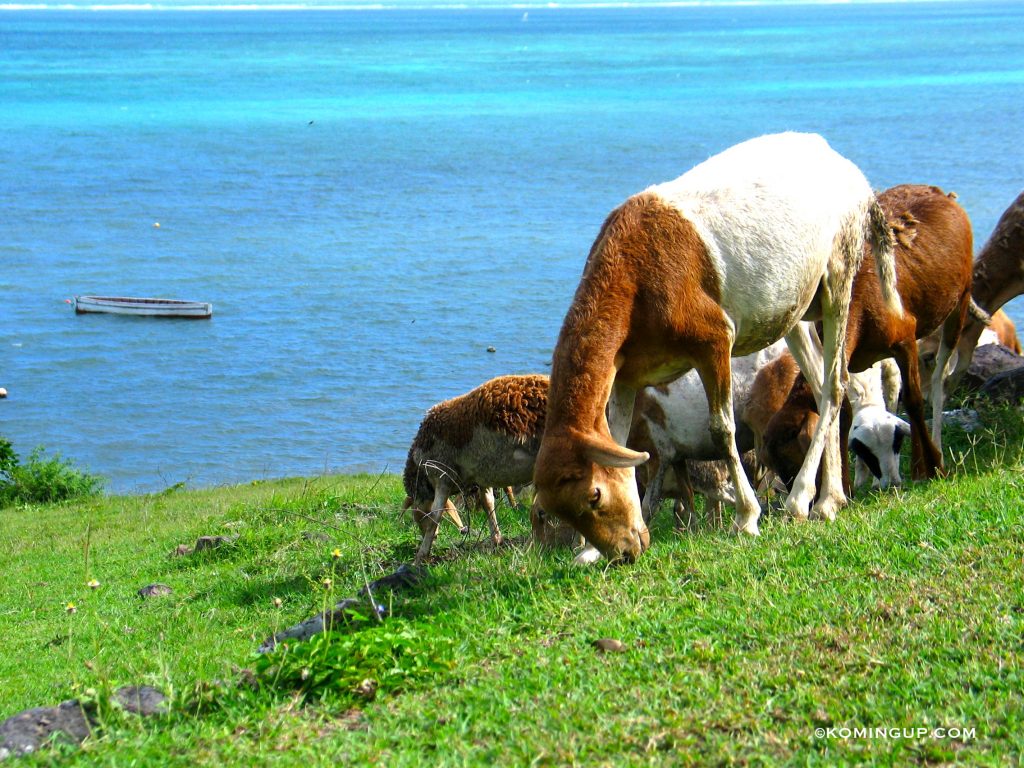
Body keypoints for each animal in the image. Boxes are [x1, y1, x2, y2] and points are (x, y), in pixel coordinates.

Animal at [399, 374, 548, 565]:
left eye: (419, 516)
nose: (435, 538)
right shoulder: (483, 475)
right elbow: (488, 504)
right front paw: (497, 541)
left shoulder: (442, 474)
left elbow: (436, 516)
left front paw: (420, 557)